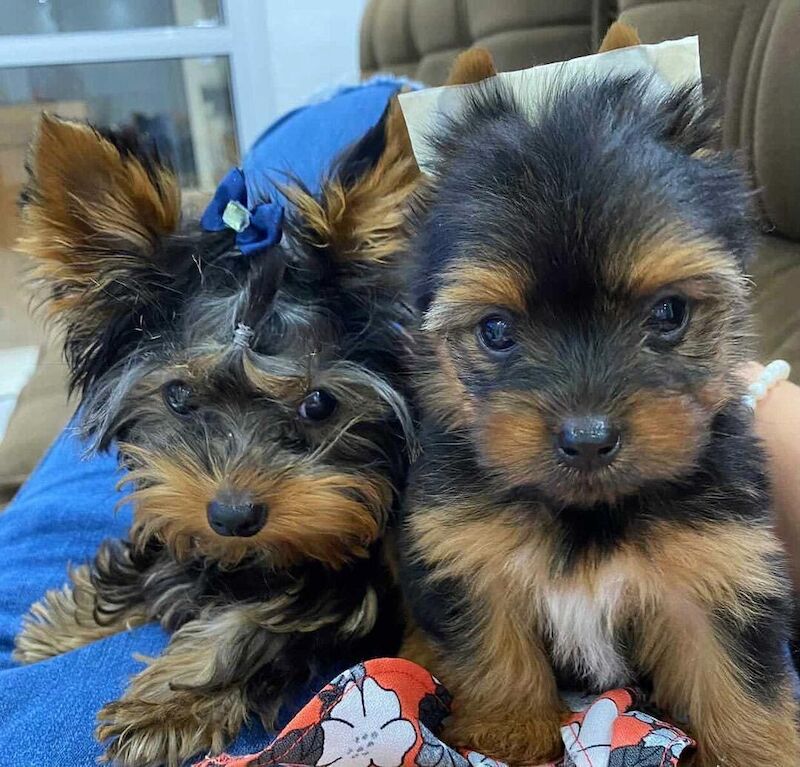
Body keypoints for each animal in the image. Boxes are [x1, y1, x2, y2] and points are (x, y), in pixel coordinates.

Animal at [12, 99, 418, 764]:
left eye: (318, 404)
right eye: (178, 397)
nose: (232, 517)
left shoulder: (354, 578)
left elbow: (258, 624)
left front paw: (166, 706)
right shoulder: (172, 508)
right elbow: (159, 549)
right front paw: (63, 627)